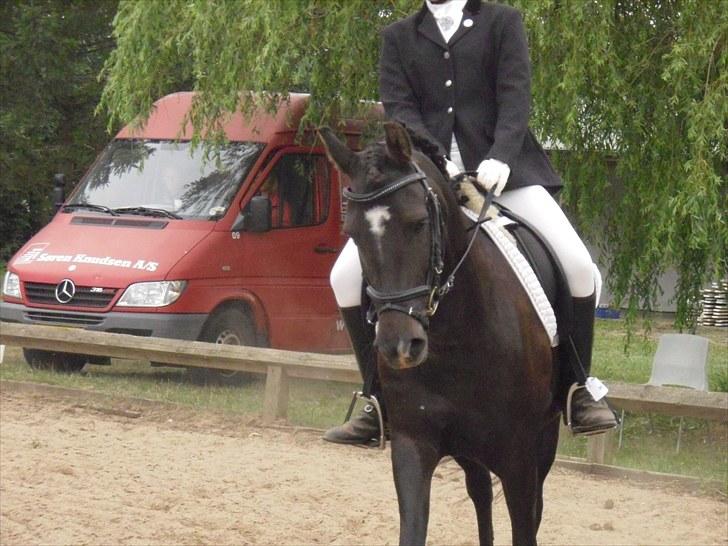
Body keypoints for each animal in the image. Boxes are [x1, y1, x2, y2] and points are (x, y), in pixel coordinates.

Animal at [320, 122, 562, 546]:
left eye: (419, 222)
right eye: (353, 233)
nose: (400, 347)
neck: (456, 339)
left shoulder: (520, 456)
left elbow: (525, 527)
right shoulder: (413, 445)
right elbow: (413, 529)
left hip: (543, 441)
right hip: (468, 449)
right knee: (480, 493)